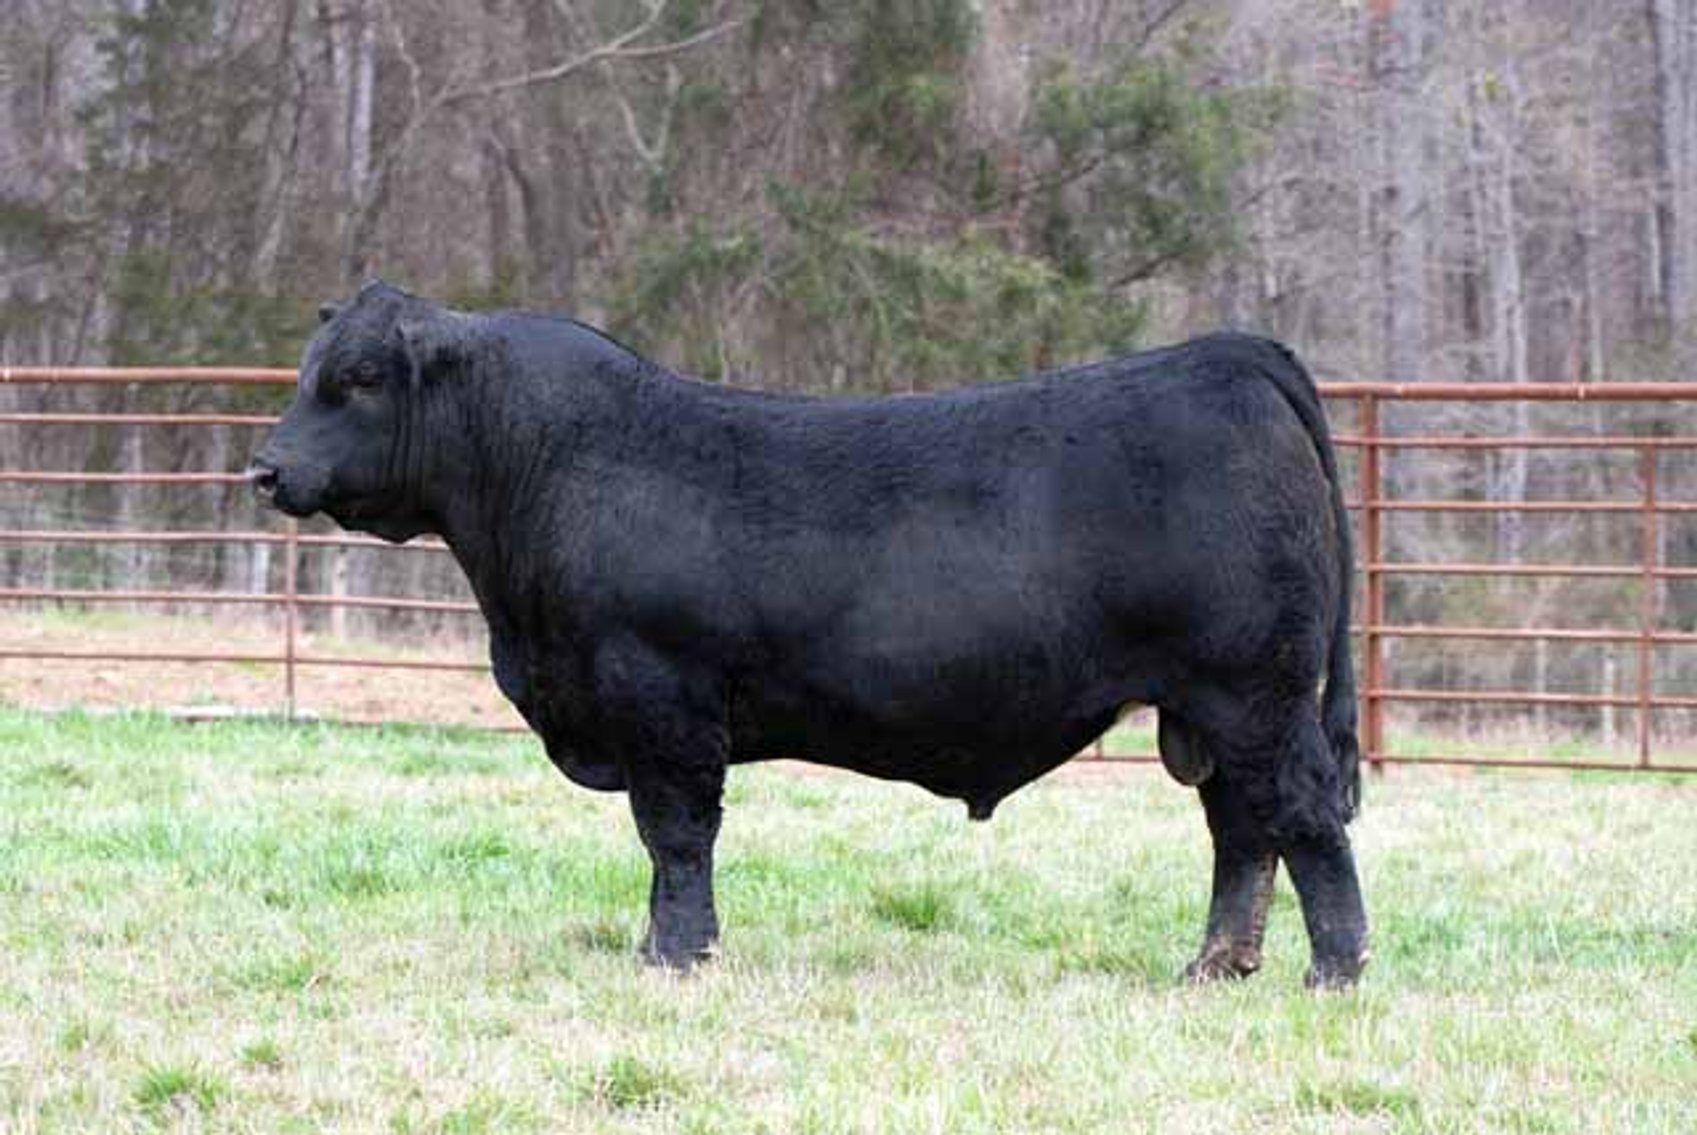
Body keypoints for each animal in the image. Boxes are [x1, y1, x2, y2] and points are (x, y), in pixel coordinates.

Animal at [249, 280, 1369, 988]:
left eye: (358, 378)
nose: (266, 468)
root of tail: (1225, 353)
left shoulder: (660, 695)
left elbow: (675, 833)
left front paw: (674, 955)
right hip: (1213, 709)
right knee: (1241, 829)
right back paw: (1214, 964)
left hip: (1255, 691)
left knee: (1301, 814)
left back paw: (1333, 967)